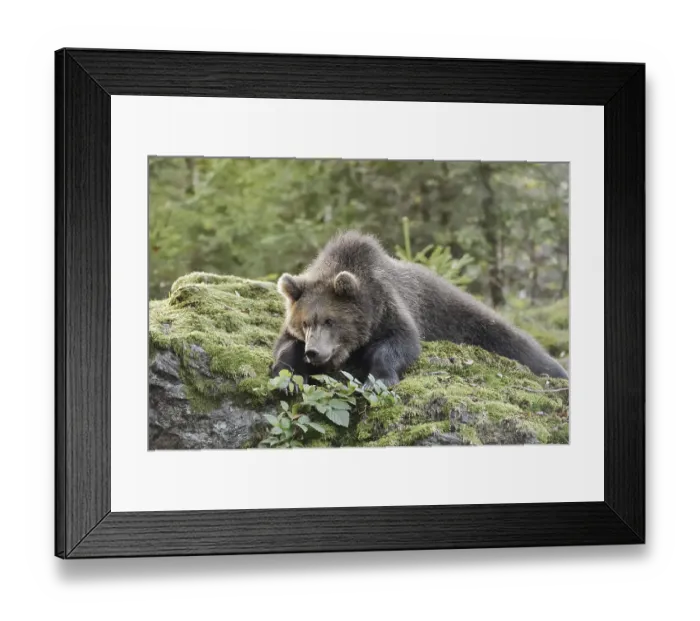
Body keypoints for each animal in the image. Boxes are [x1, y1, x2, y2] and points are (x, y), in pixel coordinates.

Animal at [270, 230, 568, 386]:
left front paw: (379, 378)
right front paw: (286, 375)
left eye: (330, 320)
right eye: (306, 323)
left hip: (457, 312)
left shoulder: (389, 307)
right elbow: (284, 346)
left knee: (511, 339)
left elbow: (401, 343)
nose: (314, 352)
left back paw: (557, 370)